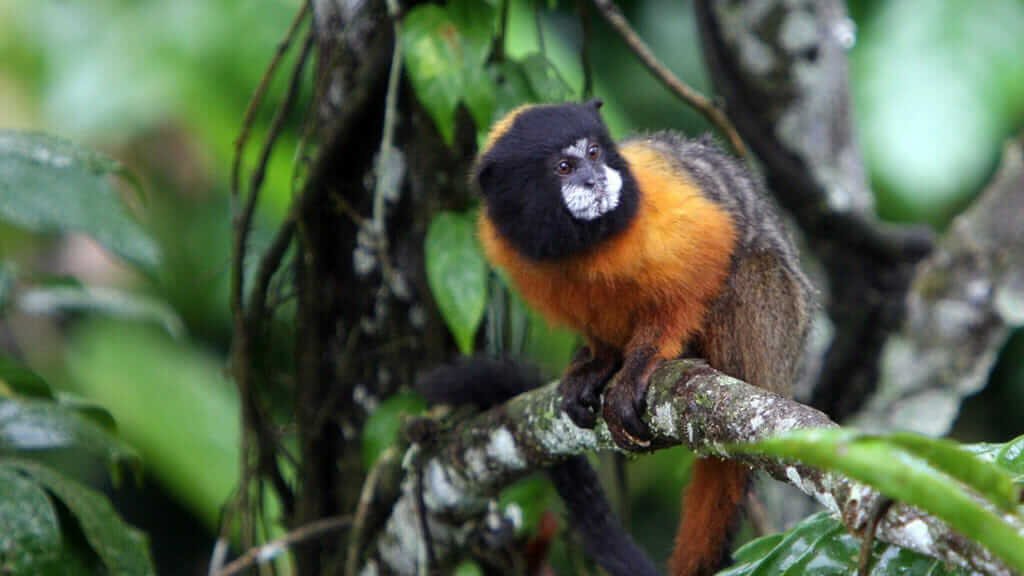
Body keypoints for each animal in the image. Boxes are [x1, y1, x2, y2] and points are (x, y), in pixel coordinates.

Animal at [471, 100, 813, 576]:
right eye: (564, 167)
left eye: (594, 153)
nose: (595, 180)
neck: (580, 243)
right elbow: (594, 325)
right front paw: (598, 362)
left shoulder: (663, 197)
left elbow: (707, 256)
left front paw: (638, 365)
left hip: (775, 326)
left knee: (747, 266)